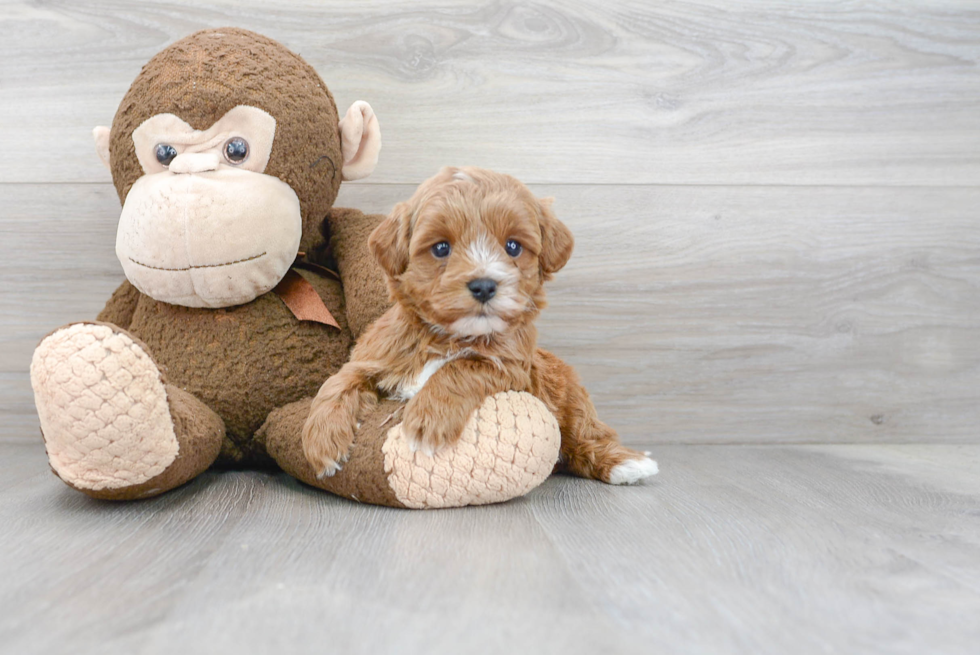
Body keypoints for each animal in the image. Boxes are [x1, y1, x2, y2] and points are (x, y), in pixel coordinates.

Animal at [302, 169, 664, 486]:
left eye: (513, 246)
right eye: (441, 248)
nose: (484, 285)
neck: (449, 336)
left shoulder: (511, 368)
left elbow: (460, 368)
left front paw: (426, 423)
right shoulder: (376, 354)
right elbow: (339, 382)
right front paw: (321, 441)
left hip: (569, 394)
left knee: (586, 433)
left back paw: (626, 463)